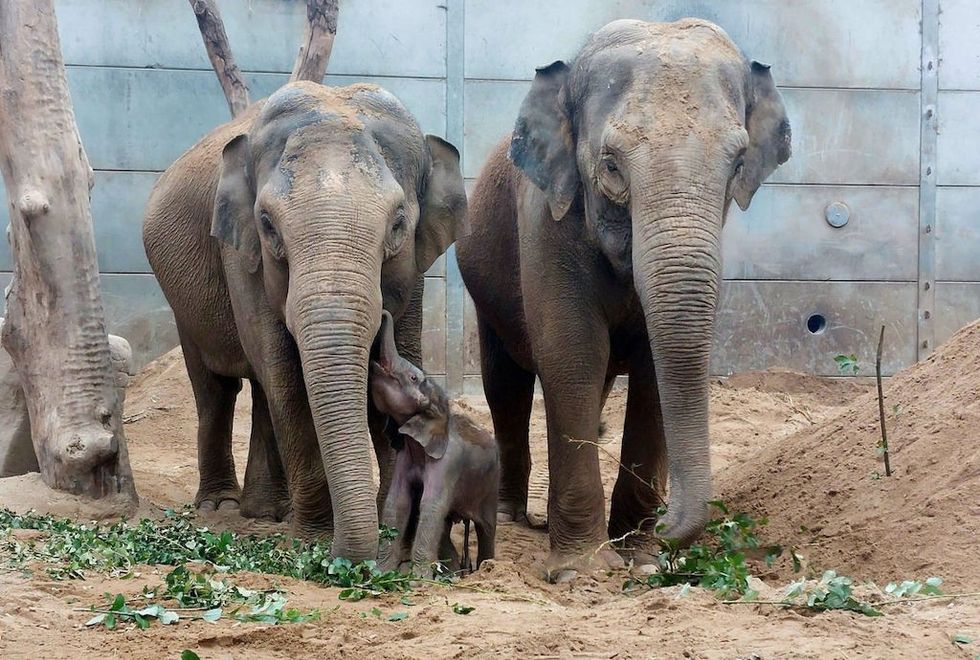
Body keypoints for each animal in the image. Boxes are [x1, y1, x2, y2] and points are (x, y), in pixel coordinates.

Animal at [143, 81, 467, 562]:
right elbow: (287, 380)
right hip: (183, 301)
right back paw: (223, 506)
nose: (347, 554)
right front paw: (312, 540)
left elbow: (398, 361)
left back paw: (267, 511)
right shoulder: (243, 258)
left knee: (260, 391)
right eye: (266, 223)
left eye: (398, 224)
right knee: (218, 387)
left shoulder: (415, 270)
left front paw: (392, 530)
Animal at [456, 18, 791, 578]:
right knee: (504, 382)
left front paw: (643, 559)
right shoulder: (545, 221)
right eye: (611, 166)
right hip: (484, 280)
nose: (669, 523)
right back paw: (510, 516)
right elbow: (573, 353)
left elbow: (655, 365)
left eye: (740, 161)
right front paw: (583, 571)